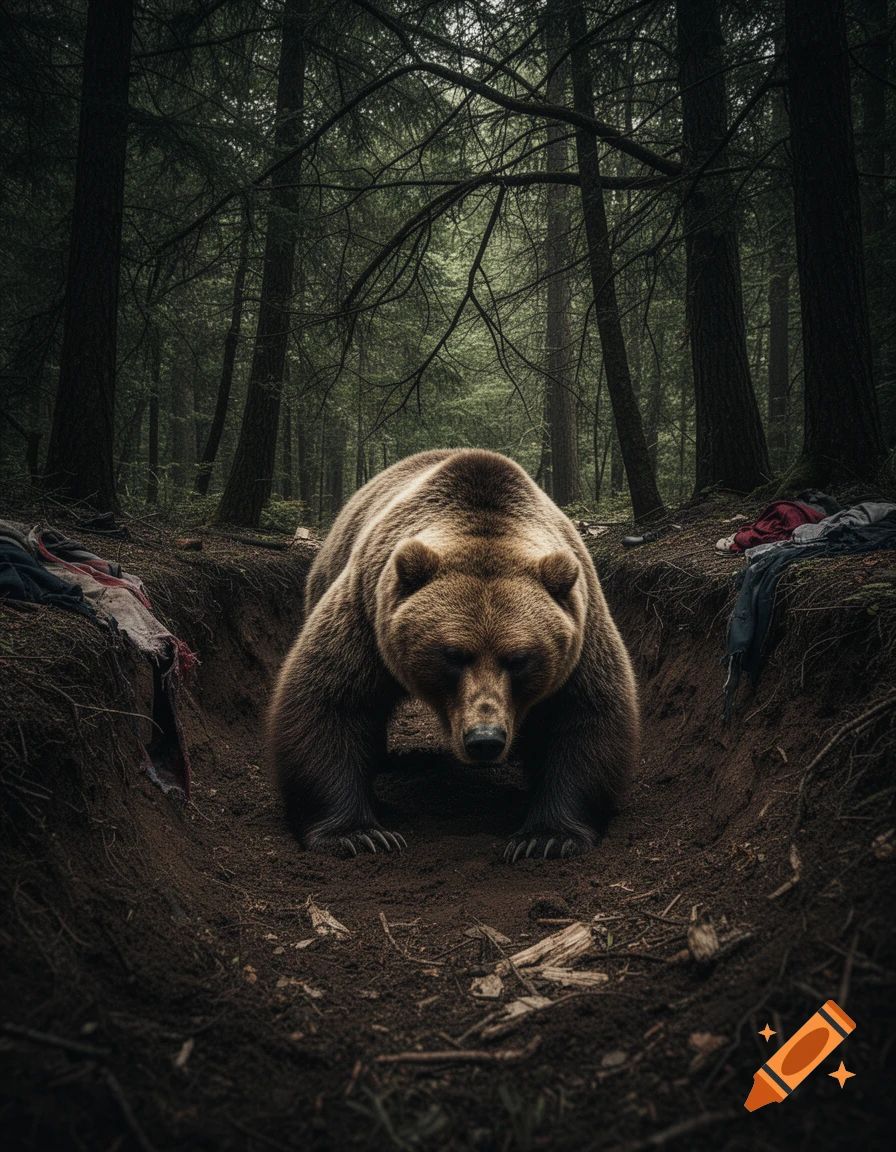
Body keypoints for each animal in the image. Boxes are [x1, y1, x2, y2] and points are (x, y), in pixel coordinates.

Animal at [268, 448, 639, 861]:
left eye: (519, 659)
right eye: (453, 654)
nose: (485, 739)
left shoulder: (582, 629)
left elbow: (581, 716)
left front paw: (545, 838)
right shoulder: (366, 614)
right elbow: (331, 701)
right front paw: (360, 834)